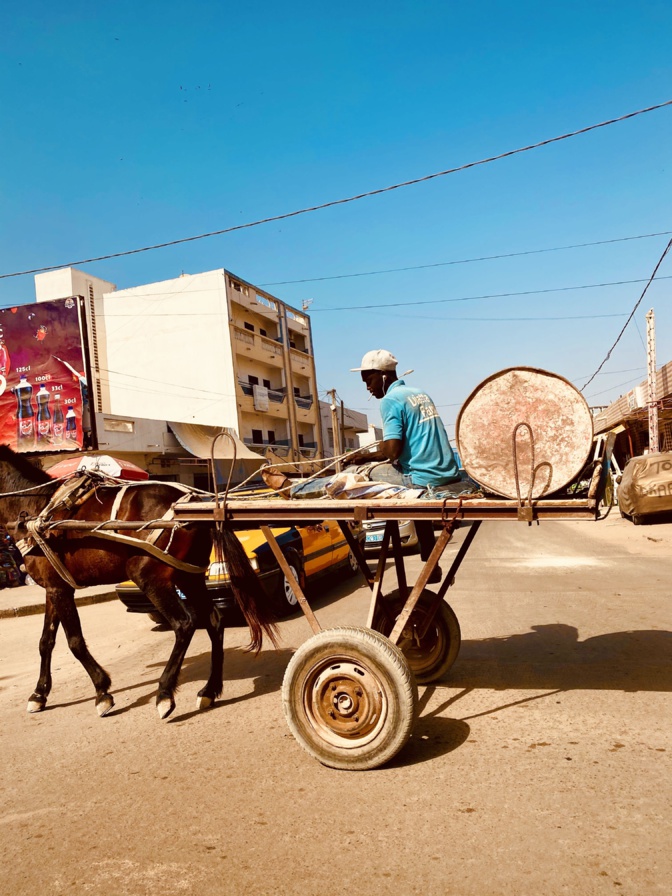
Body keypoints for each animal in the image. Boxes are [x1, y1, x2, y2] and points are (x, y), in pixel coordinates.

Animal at [0, 448, 276, 720]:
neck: (35, 509)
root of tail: (195, 503)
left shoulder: (59, 589)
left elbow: (75, 642)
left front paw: (102, 691)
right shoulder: (54, 587)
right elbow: (45, 641)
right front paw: (39, 694)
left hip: (149, 577)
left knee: (184, 624)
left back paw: (164, 693)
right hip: (188, 576)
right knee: (214, 621)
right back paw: (209, 690)